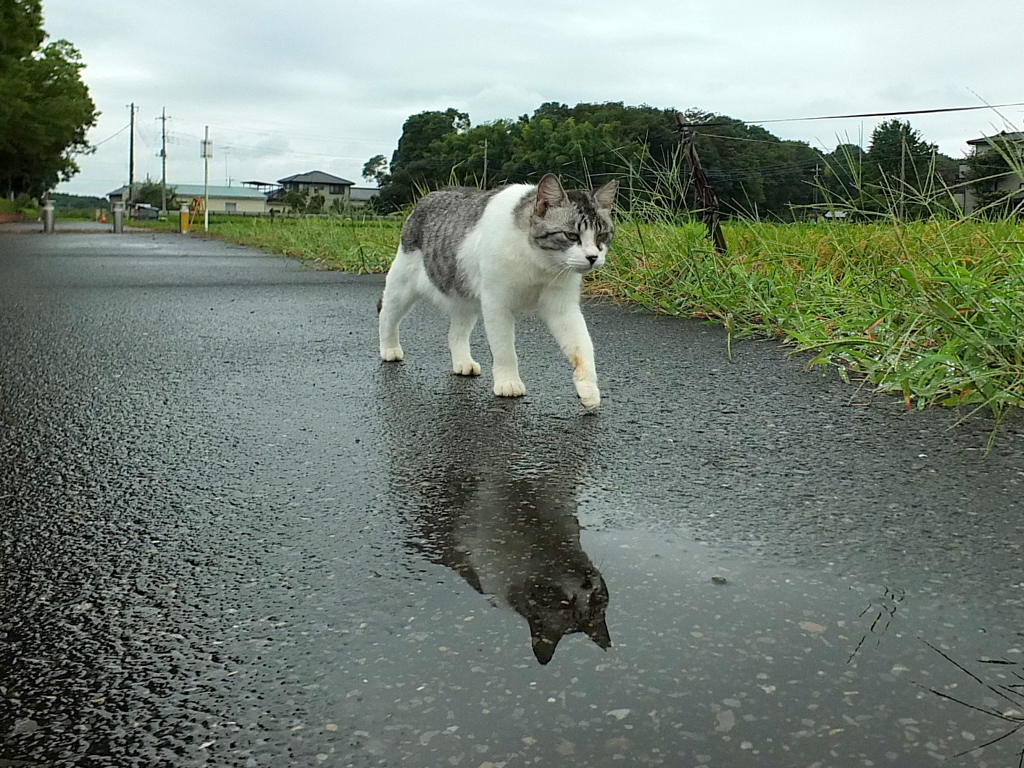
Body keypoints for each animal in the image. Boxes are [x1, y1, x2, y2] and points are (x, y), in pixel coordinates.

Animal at [376, 173, 614, 409]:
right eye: (571, 235)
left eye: (601, 236)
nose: (593, 257)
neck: (539, 262)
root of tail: (433, 193)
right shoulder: (497, 305)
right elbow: (504, 350)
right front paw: (508, 382)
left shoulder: (563, 308)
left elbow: (582, 346)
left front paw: (588, 388)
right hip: (402, 285)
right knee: (387, 314)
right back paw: (389, 348)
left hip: (464, 297)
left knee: (455, 333)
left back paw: (462, 362)